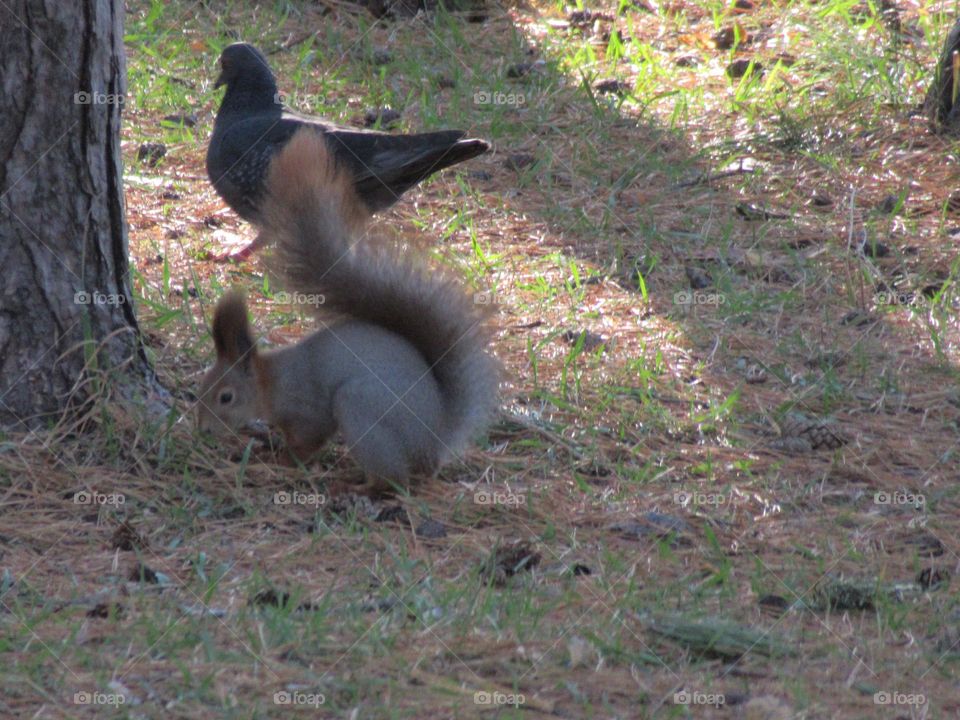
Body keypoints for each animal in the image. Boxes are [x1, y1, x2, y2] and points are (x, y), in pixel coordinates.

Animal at [197, 128, 499, 487]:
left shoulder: (306, 409)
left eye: (226, 397)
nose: (202, 428)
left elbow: (309, 440)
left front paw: (282, 460)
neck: (270, 381)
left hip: (359, 406)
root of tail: (434, 441)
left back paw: (356, 486)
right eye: (201, 387)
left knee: (393, 480)